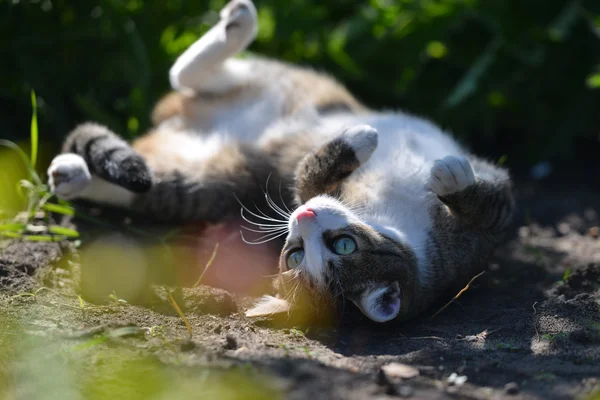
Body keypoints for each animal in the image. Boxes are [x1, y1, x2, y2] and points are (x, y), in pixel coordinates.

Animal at [47, 0, 516, 320]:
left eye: (342, 247)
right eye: (295, 255)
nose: (303, 217)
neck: (390, 214)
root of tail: (174, 121)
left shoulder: (482, 228)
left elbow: (490, 203)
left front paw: (447, 176)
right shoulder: (308, 187)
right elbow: (307, 172)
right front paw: (362, 141)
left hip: (208, 180)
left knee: (147, 177)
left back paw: (70, 173)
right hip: (265, 86)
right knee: (186, 74)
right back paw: (238, 24)